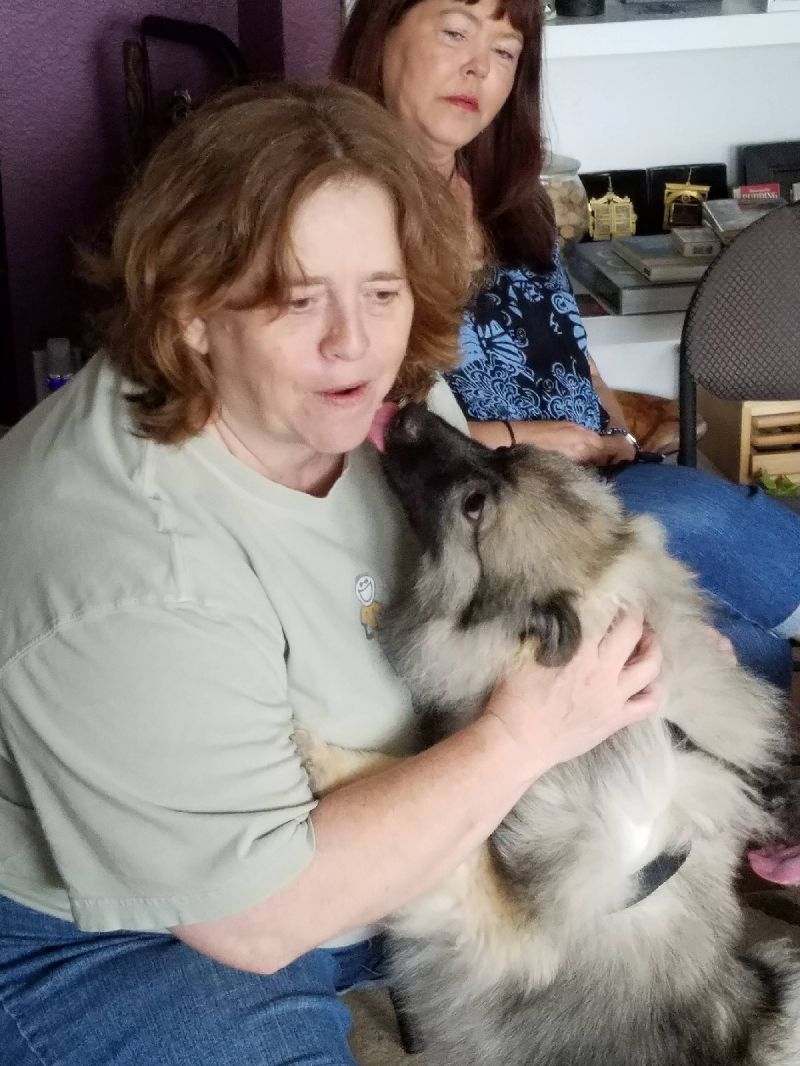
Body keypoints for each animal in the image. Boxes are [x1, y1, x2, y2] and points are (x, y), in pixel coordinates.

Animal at [297, 403, 800, 1066]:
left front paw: (317, 754)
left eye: (475, 505)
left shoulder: (509, 925)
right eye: (502, 453)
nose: (404, 411)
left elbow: (391, 773)